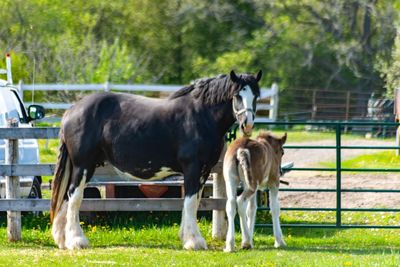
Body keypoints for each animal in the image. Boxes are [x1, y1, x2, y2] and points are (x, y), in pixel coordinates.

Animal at [50, 70, 262, 250]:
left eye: (256, 96)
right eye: (237, 95)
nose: (247, 124)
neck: (201, 115)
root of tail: (71, 111)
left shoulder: (203, 171)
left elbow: (193, 202)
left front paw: (187, 238)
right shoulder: (192, 169)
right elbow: (190, 202)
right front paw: (194, 241)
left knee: (66, 198)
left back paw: (62, 240)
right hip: (83, 166)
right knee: (75, 197)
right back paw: (77, 241)